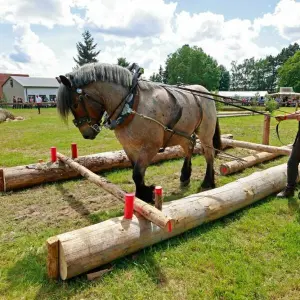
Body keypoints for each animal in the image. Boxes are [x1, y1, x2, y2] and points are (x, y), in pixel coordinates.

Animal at [55, 63, 220, 204]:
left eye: (75, 104)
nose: (86, 133)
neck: (131, 103)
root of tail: (206, 92)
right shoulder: (129, 147)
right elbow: (136, 173)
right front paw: (142, 195)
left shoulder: (151, 147)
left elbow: (137, 173)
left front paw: (147, 194)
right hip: (183, 133)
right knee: (189, 148)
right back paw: (185, 176)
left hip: (205, 133)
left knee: (209, 154)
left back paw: (208, 181)